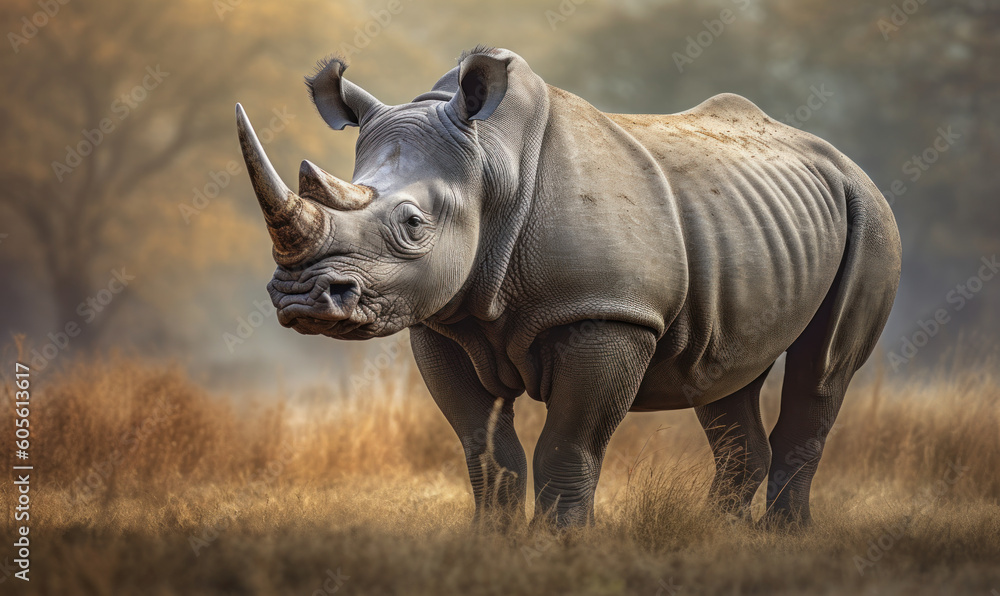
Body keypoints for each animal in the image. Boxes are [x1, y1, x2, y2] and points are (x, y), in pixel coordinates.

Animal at [235, 46, 900, 528]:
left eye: (414, 225)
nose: (301, 298)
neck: (490, 163)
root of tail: (842, 160)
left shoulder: (607, 312)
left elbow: (569, 444)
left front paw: (558, 545)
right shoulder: (442, 320)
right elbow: (483, 448)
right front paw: (491, 542)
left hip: (871, 212)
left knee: (822, 368)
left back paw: (785, 539)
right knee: (726, 375)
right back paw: (718, 537)